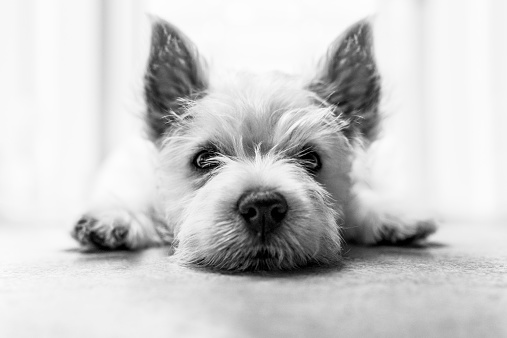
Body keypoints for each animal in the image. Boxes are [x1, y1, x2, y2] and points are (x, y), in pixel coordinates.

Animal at [71, 17, 436, 270]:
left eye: (311, 160)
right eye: (204, 160)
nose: (263, 209)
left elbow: (360, 199)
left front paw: (390, 213)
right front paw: (113, 218)